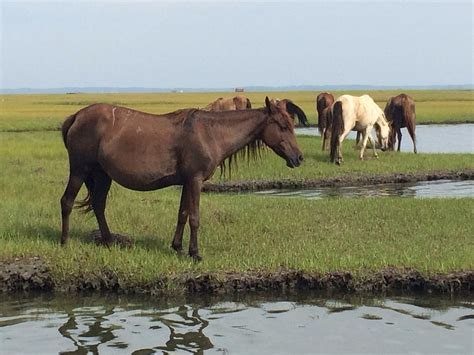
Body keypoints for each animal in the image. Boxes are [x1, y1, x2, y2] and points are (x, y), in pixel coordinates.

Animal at [60, 97, 304, 262]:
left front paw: (177, 246)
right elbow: (194, 217)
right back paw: (65, 242)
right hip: (80, 170)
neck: (210, 133)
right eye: (283, 126)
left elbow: (182, 214)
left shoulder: (187, 181)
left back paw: (109, 241)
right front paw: (195, 253)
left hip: (103, 175)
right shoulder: (195, 180)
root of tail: (76, 117)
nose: (298, 158)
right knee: (67, 202)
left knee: (98, 205)